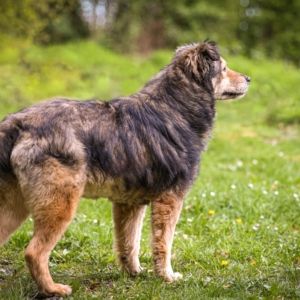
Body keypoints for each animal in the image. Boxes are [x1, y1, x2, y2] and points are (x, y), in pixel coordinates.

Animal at [0, 41, 250, 296]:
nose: (248, 78)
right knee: (34, 252)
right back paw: (54, 289)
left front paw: (134, 273)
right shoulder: (170, 200)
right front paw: (167, 277)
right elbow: (163, 244)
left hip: (14, 206)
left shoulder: (129, 203)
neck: (176, 107)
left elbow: (129, 242)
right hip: (59, 205)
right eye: (224, 68)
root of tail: (17, 123)